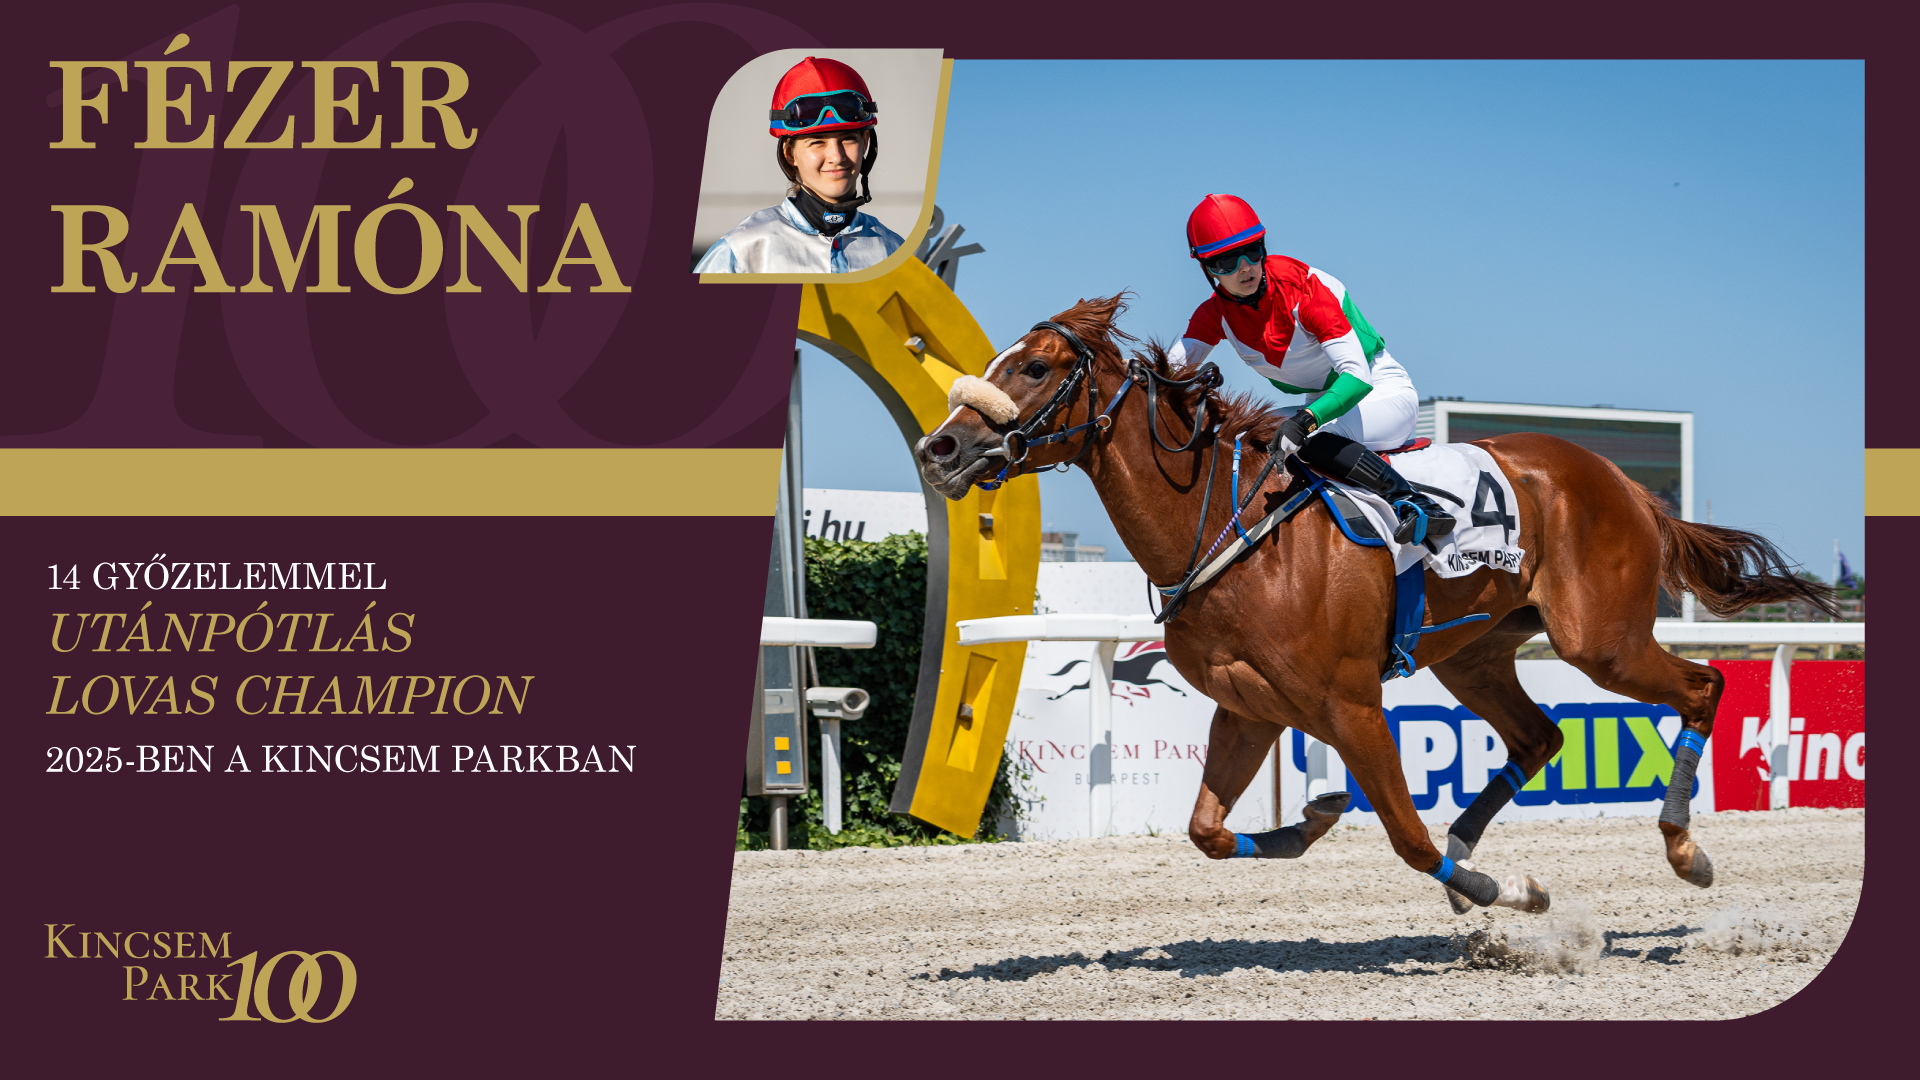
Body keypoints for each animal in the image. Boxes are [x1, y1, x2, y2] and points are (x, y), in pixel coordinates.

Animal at [917, 294, 1837, 914]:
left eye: (1034, 367)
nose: (941, 447)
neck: (1225, 528)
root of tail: (1624, 483)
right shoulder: (1249, 708)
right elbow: (1208, 831)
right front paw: (1314, 818)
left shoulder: (1351, 705)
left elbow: (1406, 835)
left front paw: (1505, 893)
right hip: (1478, 652)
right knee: (1539, 736)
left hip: (1598, 640)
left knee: (1702, 687)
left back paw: (1684, 849)